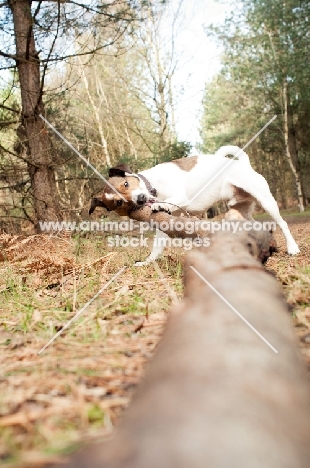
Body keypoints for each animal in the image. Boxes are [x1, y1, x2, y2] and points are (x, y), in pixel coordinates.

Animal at [91, 144, 300, 266]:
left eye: (126, 184)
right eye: (119, 202)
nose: (141, 199)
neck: (154, 186)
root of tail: (244, 164)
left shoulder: (180, 197)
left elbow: (171, 201)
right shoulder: (163, 224)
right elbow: (157, 247)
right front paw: (146, 262)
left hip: (266, 200)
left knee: (282, 223)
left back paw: (292, 247)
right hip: (243, 211)